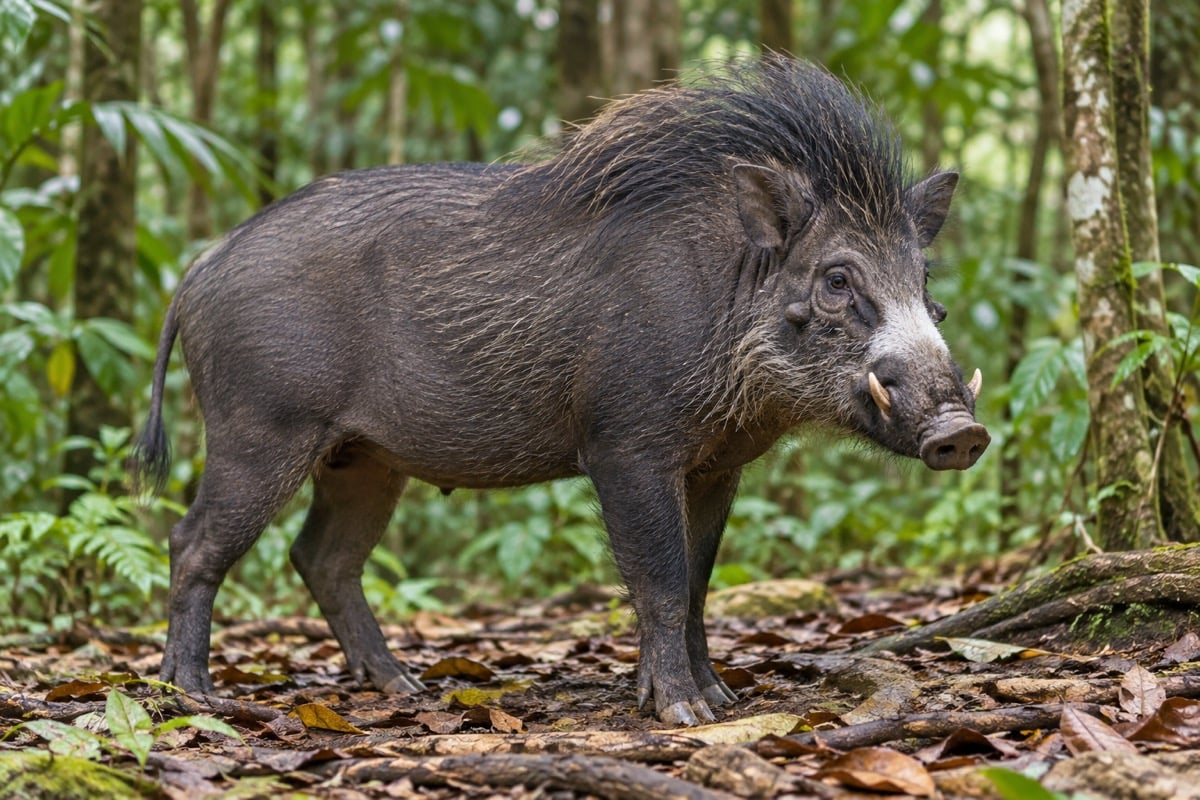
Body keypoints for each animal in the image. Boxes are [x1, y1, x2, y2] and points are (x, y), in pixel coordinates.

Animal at [132, 57, 988, 726]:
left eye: (924, 278)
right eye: (838, 279)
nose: (962, 432)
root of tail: (198, 272)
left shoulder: (717, 463)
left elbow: (701, 581)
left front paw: (723, 700)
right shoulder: (625, 445)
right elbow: (660, 577)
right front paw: (684, 713)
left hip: (364, 458)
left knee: (323, 557)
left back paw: (403, 688)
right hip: (261, 428)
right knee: (193, 541)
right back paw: (193, 696)